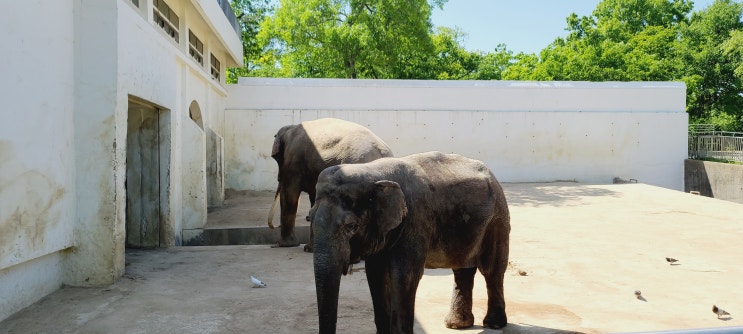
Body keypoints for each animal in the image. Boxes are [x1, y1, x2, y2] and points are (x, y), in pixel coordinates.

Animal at [268, 117, 396, 248]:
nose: (274, 227)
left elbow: (290, 195)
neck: (290, 127)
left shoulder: (292, 162)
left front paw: (285, 245)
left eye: (276, 159)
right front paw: (308, 248)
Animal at [310, 152, 512, 334]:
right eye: (308, 218)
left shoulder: (415, 220)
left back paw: (493, 324)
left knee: (491, 269)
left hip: (497, 219)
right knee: (462, 269)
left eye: (351, 226)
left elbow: (404, 275)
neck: (373, 172)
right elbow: (376, 274)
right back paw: (457, 325)